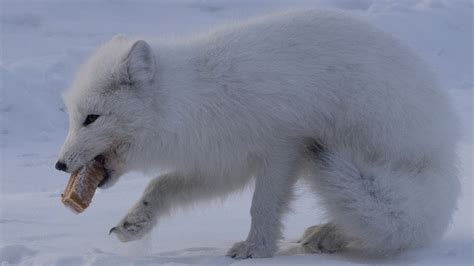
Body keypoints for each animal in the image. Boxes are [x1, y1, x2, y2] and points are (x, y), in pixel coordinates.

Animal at [55, 9, 460, 258]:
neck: (194, 99)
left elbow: (262, 206)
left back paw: (330, 235)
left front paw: (257, 249)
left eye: (91, 118)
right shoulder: (223, 163)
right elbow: (161, 186)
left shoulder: (282, 149)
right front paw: (134, 224)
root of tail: (445, 162)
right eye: (72, 118)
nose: (59, 165)